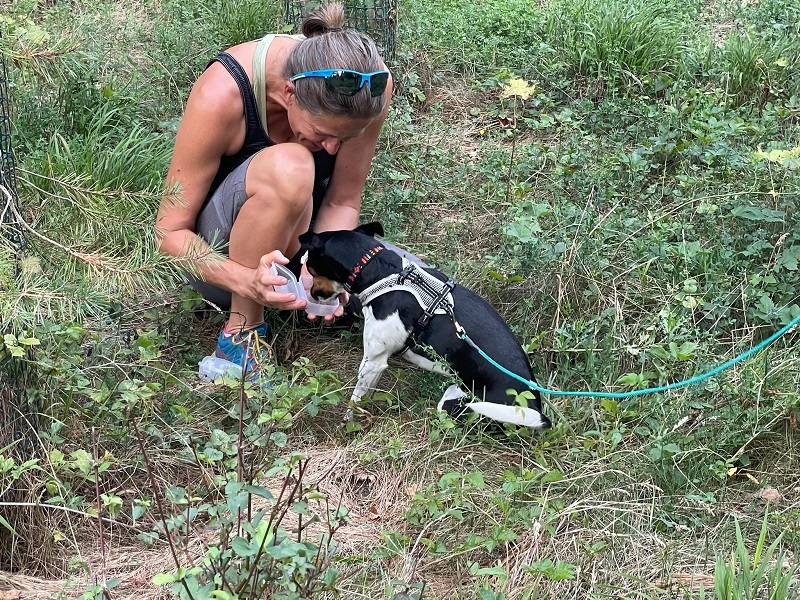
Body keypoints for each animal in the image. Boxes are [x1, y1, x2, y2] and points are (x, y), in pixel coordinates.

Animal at [296, 223, 552, 428]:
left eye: (309, 266)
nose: (313, 294)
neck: (382, 271)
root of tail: (533, 404)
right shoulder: (379, 363)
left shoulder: (373, 361)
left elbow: (355, 400)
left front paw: (347, 422)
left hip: (460, 403)